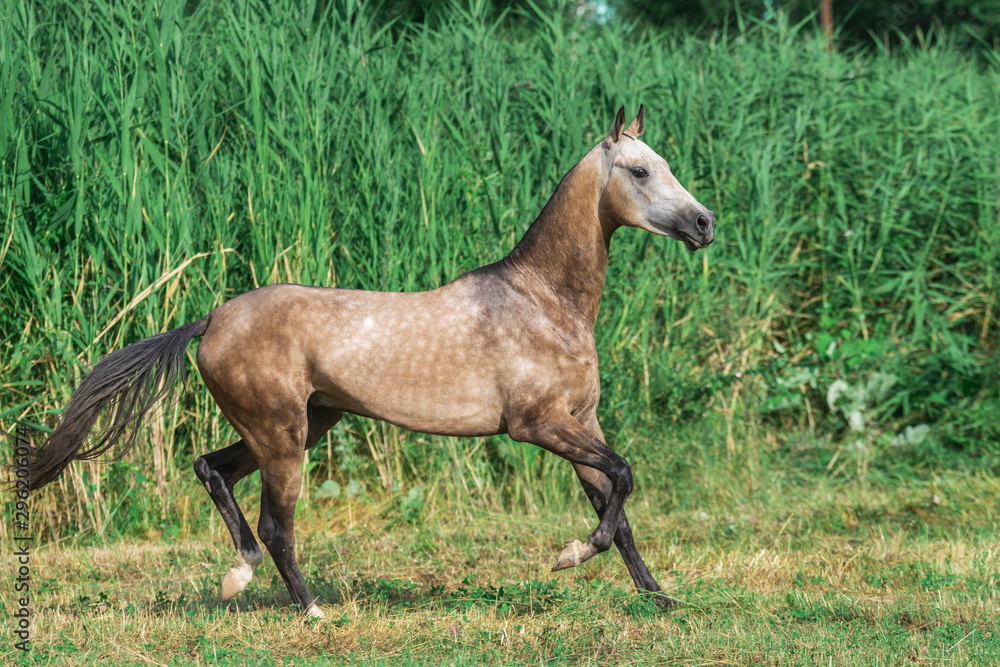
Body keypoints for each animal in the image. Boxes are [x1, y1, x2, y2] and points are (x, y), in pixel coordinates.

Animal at [29, 105, 715, 617]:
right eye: (639, 170)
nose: (704, 223)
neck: (542, 302)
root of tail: (211, 320)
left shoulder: (581, 420)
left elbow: (617, 509)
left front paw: (659, 598)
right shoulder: (538, 424)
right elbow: (623, 479)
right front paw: (569, 554)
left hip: (303, 425)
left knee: (211, 469)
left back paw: (237, 576)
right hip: (283, 437)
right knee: (276, 526)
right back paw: (310, 609)